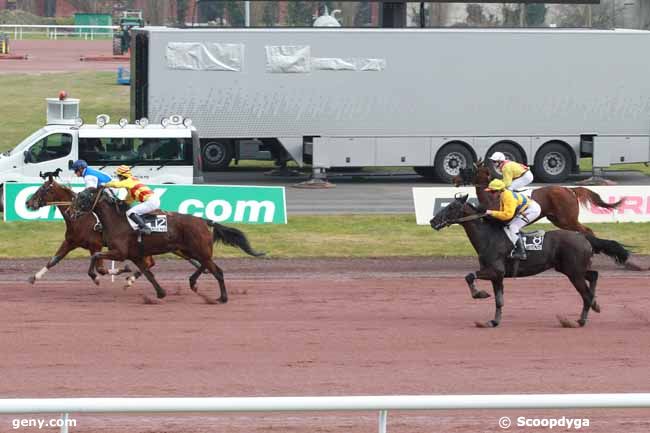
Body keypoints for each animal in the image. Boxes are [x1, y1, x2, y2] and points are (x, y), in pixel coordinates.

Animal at [70, 187, 264, 302]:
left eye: (82, 197)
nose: (71, 213)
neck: (117, 220)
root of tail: (203, 220)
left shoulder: (120, 252)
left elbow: (96, 255)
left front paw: (95, 277)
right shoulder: (135, 255)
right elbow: (149, 274)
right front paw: (160, 293)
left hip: (198, 249)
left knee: (217, 271)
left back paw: (222, 297)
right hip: (191, 250)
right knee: (206, 266)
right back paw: (193, 282)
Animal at [428, 194, 632, 326]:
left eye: (451, 207)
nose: (432, 221)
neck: (488, 237)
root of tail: (583, 237)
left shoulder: (495, 271)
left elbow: (469, 276)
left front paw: (480, 294)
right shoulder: (497, 276)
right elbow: (499, 300)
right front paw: (493, 321)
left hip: (573, 272)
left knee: (586, 293)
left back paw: (579, 320)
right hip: (572, 269)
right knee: (594, 276)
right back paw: (595, 306)